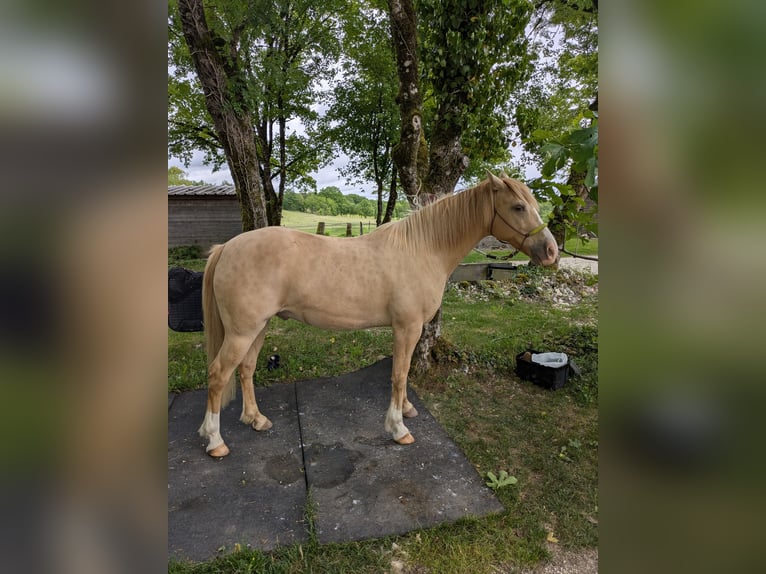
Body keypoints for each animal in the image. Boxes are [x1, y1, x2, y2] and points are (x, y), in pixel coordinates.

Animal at [198, 172, 558, 457]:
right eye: (518, 207)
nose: (551, 251)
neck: (423, 249)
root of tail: (226, 248)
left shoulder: (412, 329)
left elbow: (406, 374)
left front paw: (407, 411)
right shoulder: (407, 328)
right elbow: (399, 375)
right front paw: (398, 429)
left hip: (257, 329)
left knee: (245, 369)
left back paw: (255, 419)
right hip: (242, 332)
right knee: (218, 375)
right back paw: (215, 441)